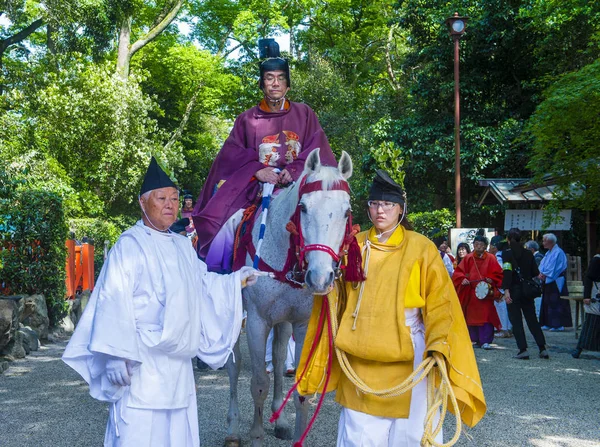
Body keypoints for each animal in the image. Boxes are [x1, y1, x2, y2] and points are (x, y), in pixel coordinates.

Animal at [223, 150, 352, 447]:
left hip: (282, 320)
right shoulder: (256, 321)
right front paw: (257, 435)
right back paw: (233, 428)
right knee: (234, 366)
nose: (320, 277)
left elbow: (301, 388)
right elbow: (258, 383)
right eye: (302, 208)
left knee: (280, 355)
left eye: (346, 212)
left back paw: (279, 420)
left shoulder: (303, 323)